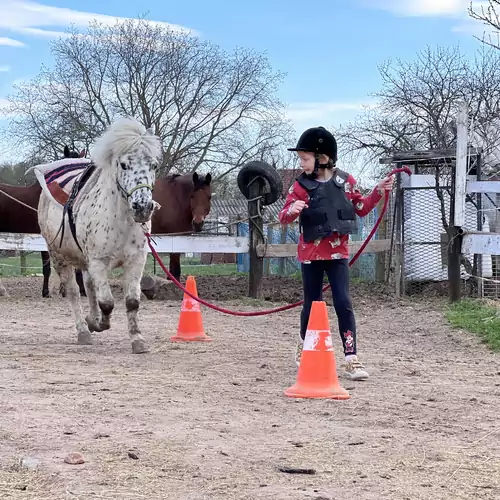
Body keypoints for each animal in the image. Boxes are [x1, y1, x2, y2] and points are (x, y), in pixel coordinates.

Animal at [30, 117, 162, 354]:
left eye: (153, 165)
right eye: (124, 165)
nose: (143, 207)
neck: (120, 220)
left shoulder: (136, 261)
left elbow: (131, 302)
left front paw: (137, 340)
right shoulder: (98, 261)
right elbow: (107, 302)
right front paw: (99, 324)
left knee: (89, 286)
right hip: (59, 257)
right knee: (74, 291)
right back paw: (84, 330)